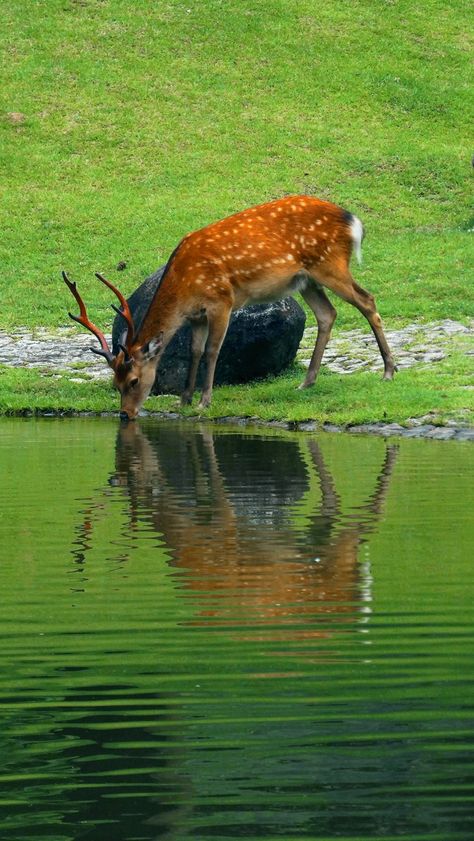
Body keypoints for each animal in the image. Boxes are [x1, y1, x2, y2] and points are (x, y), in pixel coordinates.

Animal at [63, 195, 396, 420]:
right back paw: (306, 382)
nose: (125, 414)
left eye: (133, 381)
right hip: (306, 280)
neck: (184, 283)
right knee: (327, 314)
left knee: (367, 300)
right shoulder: (196, 316)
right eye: (115, 383)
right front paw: (183, 399)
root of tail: (352, 220)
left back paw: (389, 371)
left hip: (329, 264)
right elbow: (194, 351)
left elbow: (213, 351)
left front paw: (204, 400)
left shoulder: (220, 301)